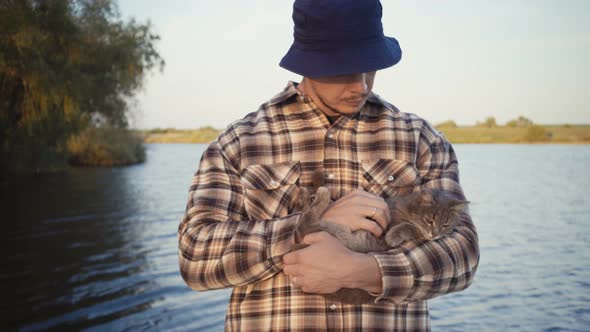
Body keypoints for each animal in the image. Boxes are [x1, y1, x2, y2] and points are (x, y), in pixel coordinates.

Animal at [292, 172, 472, 304]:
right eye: (429, 220)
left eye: (446, 225)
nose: (435, 234)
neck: (407, 209)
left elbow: (409, 229)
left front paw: (394, 235)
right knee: (301, 228)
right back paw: (313, 195)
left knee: (302, 228)